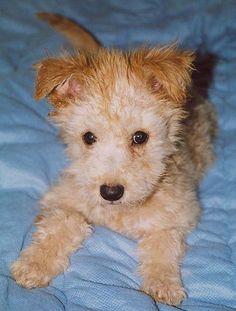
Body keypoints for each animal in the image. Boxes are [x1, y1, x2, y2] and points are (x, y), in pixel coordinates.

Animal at [12, 13, 217, 306]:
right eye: (88, 137)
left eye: (140, 137)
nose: (110, 192)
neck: (119, 213)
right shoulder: (61, 199)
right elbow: (64, 223)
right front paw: (35, 264)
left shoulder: (176, 216)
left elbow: (162, 245)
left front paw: (163, 283)